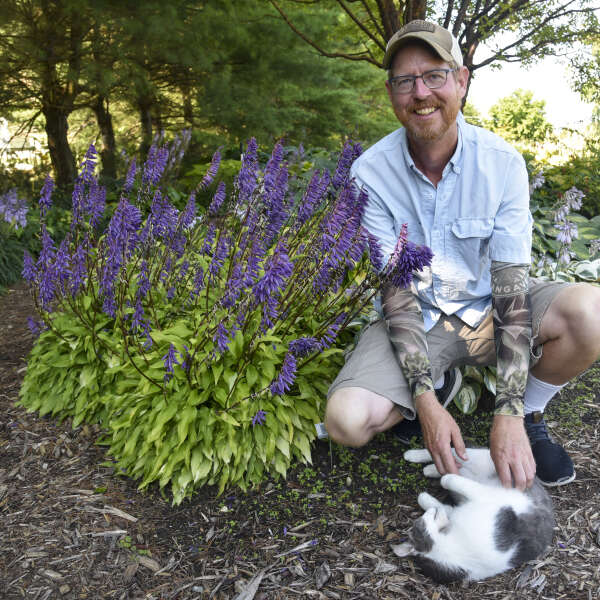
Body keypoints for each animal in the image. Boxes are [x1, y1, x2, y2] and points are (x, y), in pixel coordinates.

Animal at [392, 448, 556, 584]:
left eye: (420, 521)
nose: (429, 512)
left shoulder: (487, 496)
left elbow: (448, 480)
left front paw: (428, 496)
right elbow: (447, 492)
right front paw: (426, 498)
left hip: (478, 458)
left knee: (452, 453)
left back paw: (418, 459)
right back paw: (428, 466)